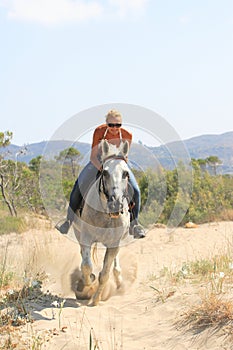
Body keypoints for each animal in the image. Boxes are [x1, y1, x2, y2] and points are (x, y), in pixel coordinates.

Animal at [73, 139, 131, 306]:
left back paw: (118, 280)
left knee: (115, 264)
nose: (116, 204)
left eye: (126, 173)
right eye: (105, 172)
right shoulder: (86, 236)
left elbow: (105, 274)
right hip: (78, 233)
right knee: (83, 256)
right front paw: (87, 284)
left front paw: (96, 300)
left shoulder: (114, 243)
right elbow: (86, 266)